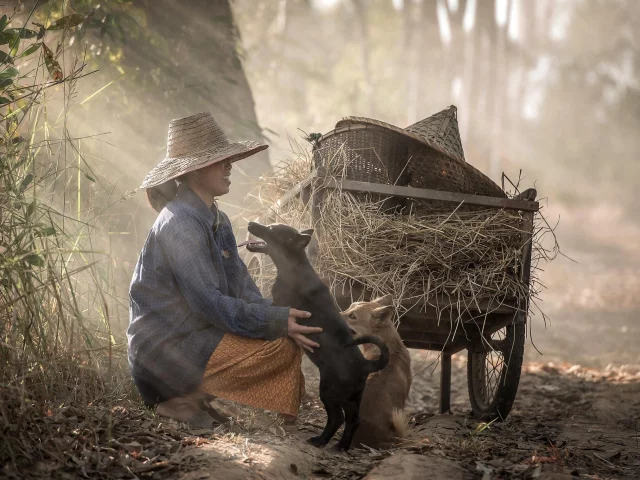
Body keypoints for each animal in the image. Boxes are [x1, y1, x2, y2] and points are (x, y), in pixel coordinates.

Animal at [246, 221, 390, 450]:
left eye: (270, 229)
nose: (252, 223)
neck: (293, 266)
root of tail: (365, 365)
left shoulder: (279, 304)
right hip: (353, 396)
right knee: (353, 419)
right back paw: (341, 447)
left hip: (330, 391)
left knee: (337, 418)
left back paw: (321, 441)